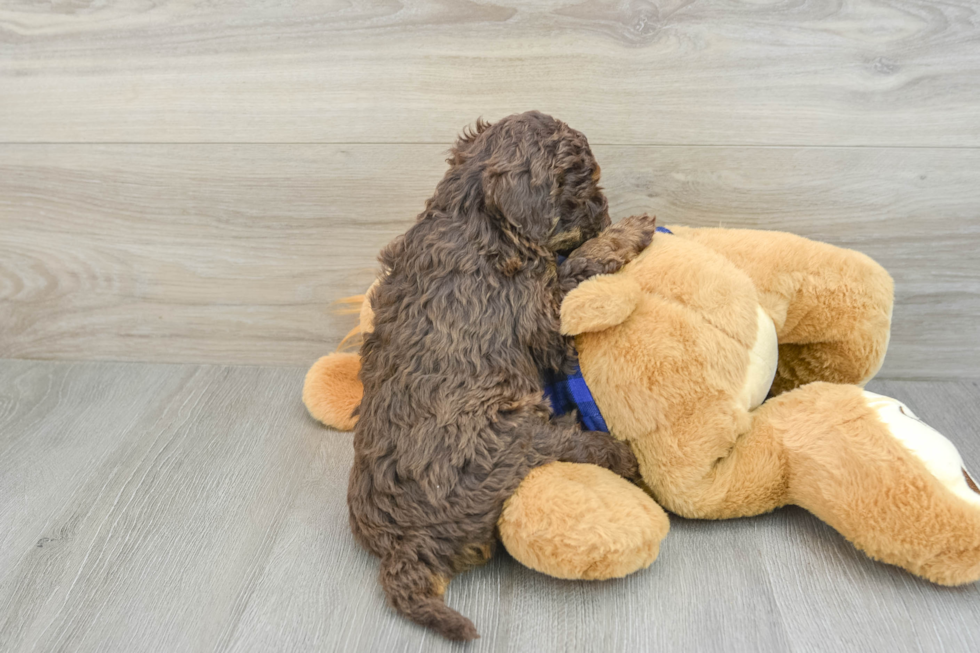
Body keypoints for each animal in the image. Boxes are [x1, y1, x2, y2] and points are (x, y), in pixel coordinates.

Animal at [348, 111, 656, 636]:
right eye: (582, 185)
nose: (605, 213)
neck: (473, 213)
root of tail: (400, 547)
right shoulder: (541, 311)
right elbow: (581, 264)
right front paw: (628, 232)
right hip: (513, 434)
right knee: (568, 448)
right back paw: (621, 457)